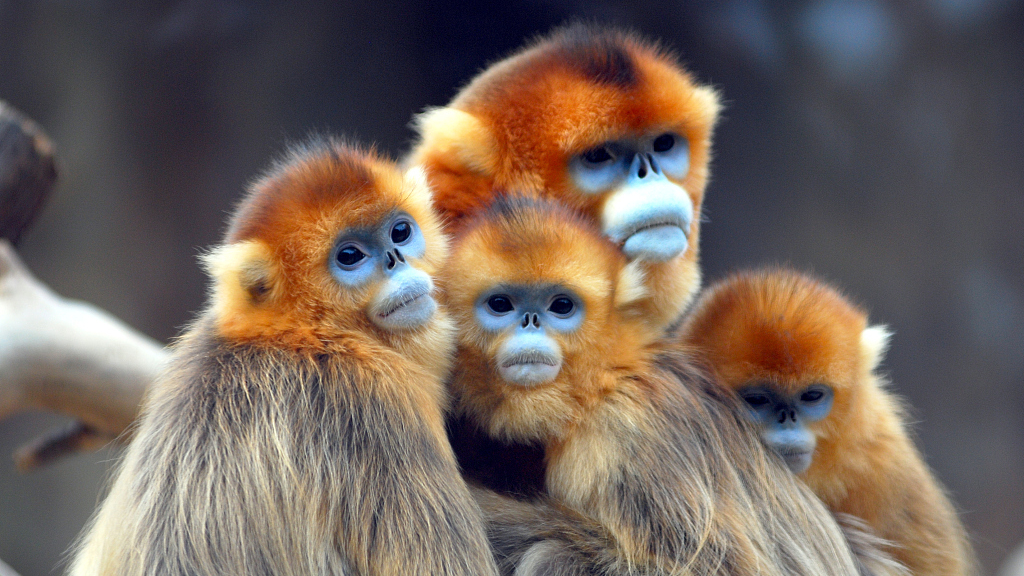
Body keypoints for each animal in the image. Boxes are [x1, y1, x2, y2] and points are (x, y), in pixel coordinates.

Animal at [439, 195, 871, 576]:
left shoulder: (623, 435)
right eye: (501, 305)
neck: (603, 382)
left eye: (561, 306)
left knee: (552, 556)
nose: (530, 322)